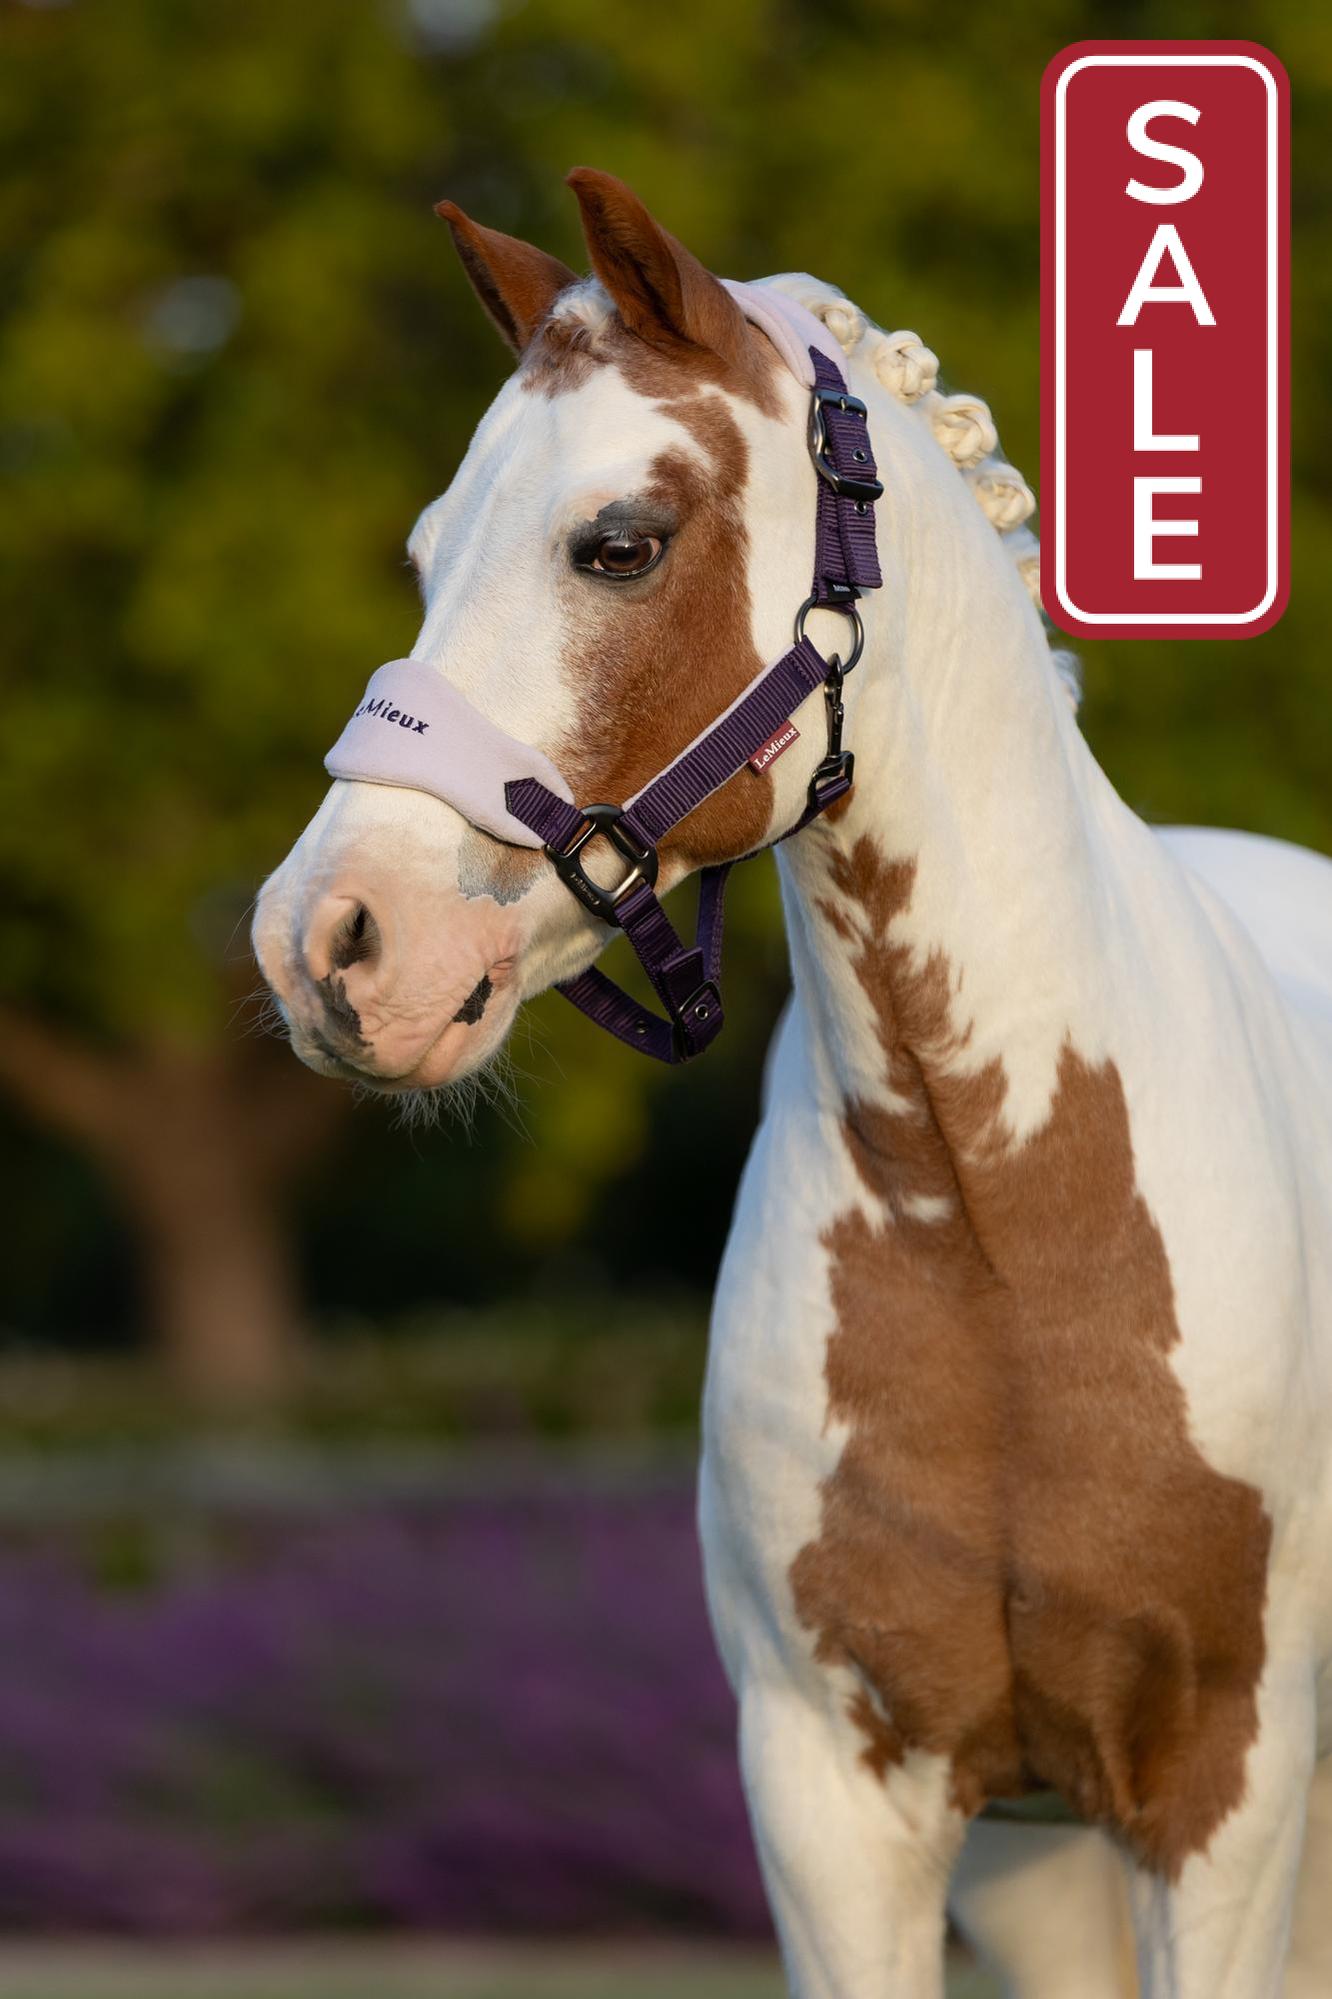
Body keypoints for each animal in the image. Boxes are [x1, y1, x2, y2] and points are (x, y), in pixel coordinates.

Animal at [252, 169, 1332, 1997]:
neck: (1002, 1230)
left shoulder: (1224, 1794)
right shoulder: (841, 1801)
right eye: (424, 552)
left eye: (620, 539)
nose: (329, 942)